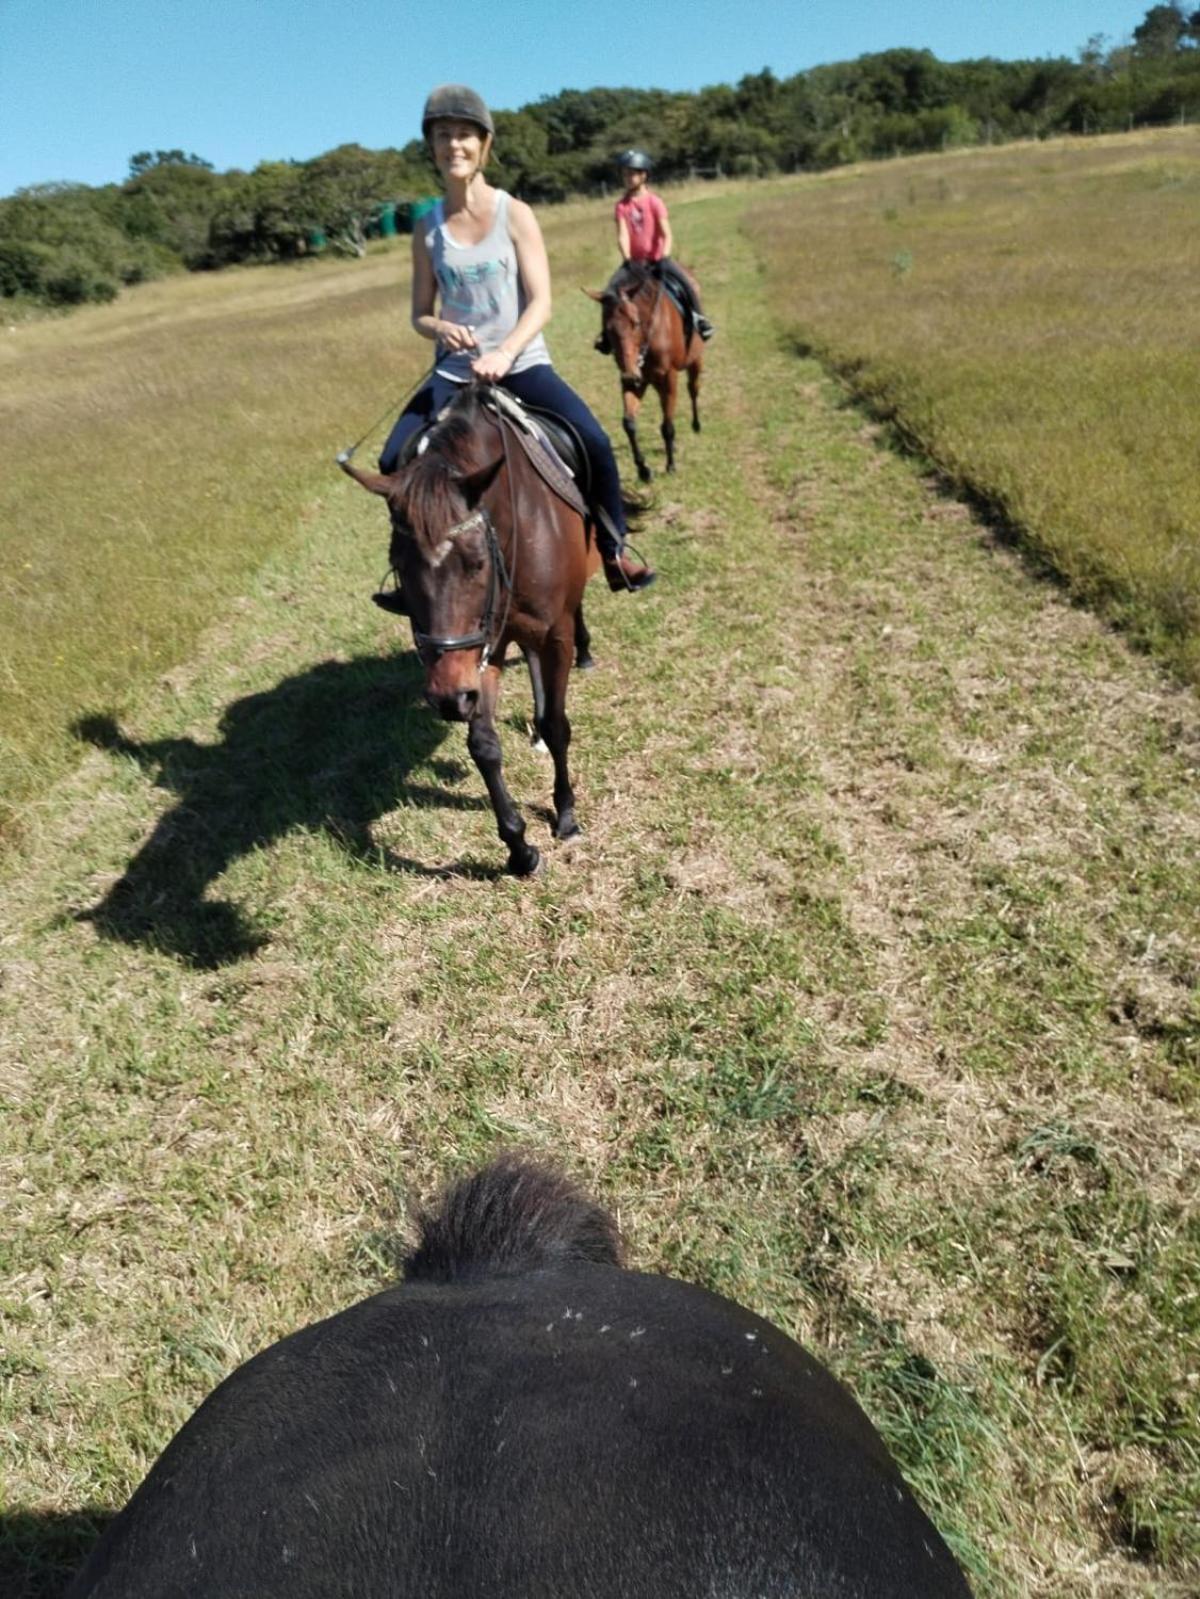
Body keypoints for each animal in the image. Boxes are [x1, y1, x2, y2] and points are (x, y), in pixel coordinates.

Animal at [339, 382, 601, 882]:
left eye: (476, 563)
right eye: (399, 567)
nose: (447, 699)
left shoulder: (553, 632)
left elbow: (558, 725)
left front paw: (566, 815)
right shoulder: (481, 650)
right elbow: (484, 746)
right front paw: (518, 848)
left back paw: (587, 654)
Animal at [588, 263, 700, 479]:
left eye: (635, 322)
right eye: (608, 329)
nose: (631, 373)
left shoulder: (669, 378)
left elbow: (667, 426)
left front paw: (670, 466)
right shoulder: (632, 380)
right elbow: (629, 423)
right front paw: (643, 469)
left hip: (696, 361)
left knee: (693, 389)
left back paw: (696, 425)